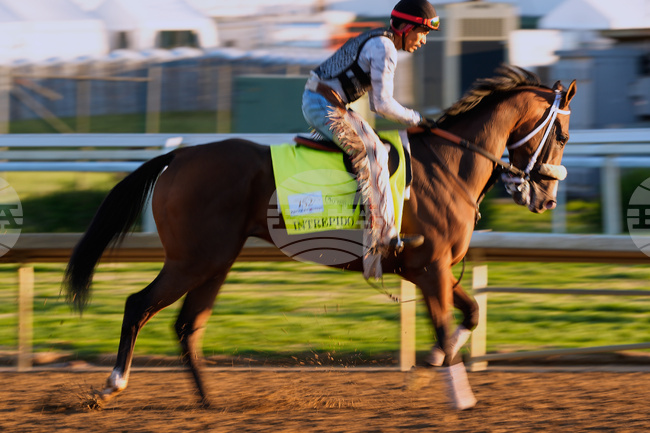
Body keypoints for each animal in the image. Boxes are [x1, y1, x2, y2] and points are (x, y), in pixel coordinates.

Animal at [64, 65, 576, 410]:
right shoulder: (430, 268)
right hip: (192, 260)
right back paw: (113, 384)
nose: (547, 198)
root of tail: (180, 156)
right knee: (139, 305)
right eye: (563, 135)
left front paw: (426, 368)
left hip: (216, 261)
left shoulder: (430, 268)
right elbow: (448, 328)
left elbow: (468, 316)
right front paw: (459, 398)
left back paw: (210, 400)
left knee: (189, 325)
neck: (447, 167)